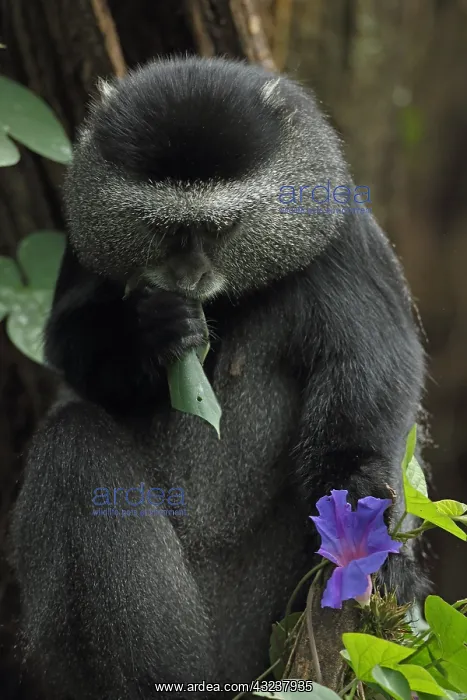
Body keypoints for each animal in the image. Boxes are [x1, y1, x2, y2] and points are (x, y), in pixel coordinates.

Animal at [10, 56, 429, 700]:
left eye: (220, 228)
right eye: (159, 229)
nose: (187, 274)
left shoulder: (341, 240)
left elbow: (370, 384)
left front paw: (372, 514)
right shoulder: (86, 245)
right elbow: (71, 344)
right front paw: (153, 333)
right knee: (73, 440)